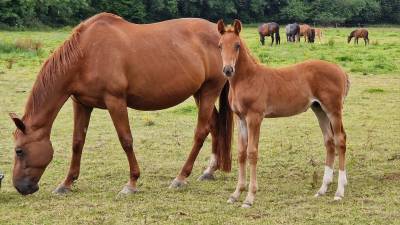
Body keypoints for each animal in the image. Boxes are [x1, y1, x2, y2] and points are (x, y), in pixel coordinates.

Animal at [8, 12, 234, 195]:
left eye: (19, 150)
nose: (20, 187)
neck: (86, 54)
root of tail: (223, 36)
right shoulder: (81, 104)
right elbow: (77, 142)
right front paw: (66, 183)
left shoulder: (115, 101)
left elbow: (126, 140)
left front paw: (131, 183)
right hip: (200, 92)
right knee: (215, 125)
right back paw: (209, 171)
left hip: (209, 90)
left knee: (201, 132)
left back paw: (180, 177)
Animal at [216, 20, 350, 208]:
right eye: (220, 45)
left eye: (237, 45)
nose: (228, 70)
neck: (247, 79)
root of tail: (341, 70)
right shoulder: (241, 119)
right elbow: (242, 153)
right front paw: (236, 194)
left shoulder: (255, 118)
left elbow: (252, 152)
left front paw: (249, 198)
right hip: (319, 110)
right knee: (329, 142)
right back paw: (323, 189)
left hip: (333, 110)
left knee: (340, 141)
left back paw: (339, 191)